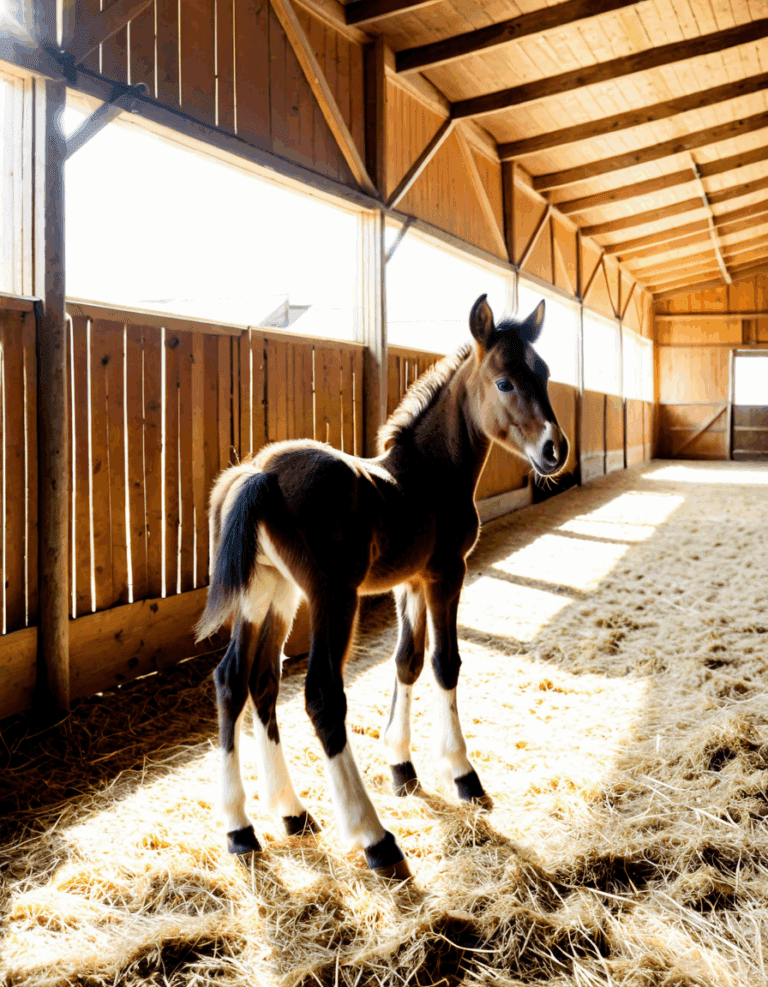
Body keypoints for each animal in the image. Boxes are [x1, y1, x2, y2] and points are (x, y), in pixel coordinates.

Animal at [196, 294, 569, 879]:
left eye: (546, 374)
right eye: (505, 381)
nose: (556, 451)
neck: (428, 472)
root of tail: (259, 473)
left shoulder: (410, 582)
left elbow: (406, 660)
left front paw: (402, 767)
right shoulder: (446, 572)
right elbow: (444, 663)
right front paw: (462, 774)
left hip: (268, 594)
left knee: (243, 680)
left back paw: (260, 823)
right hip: (331, 596)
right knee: (321, 695)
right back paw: (374, 838)